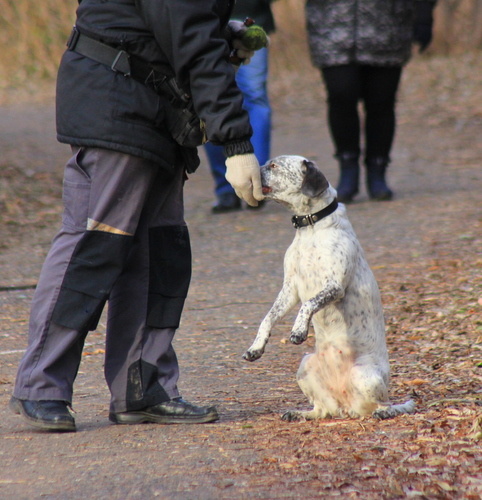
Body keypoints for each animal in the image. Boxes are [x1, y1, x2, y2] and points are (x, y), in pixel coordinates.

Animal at [245, 154, 414, 420]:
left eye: (273, 165)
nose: (249, 170)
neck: (310, 229)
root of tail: (347, 407)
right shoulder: (290, 289)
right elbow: (268, 318)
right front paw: (256, 347)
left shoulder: (333, 286)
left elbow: (308, 304)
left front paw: (298, 330)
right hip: (306, 366)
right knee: (323, 410)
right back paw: (299, 413)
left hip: (365, 376)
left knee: (380, 405)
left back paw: (385, 412)